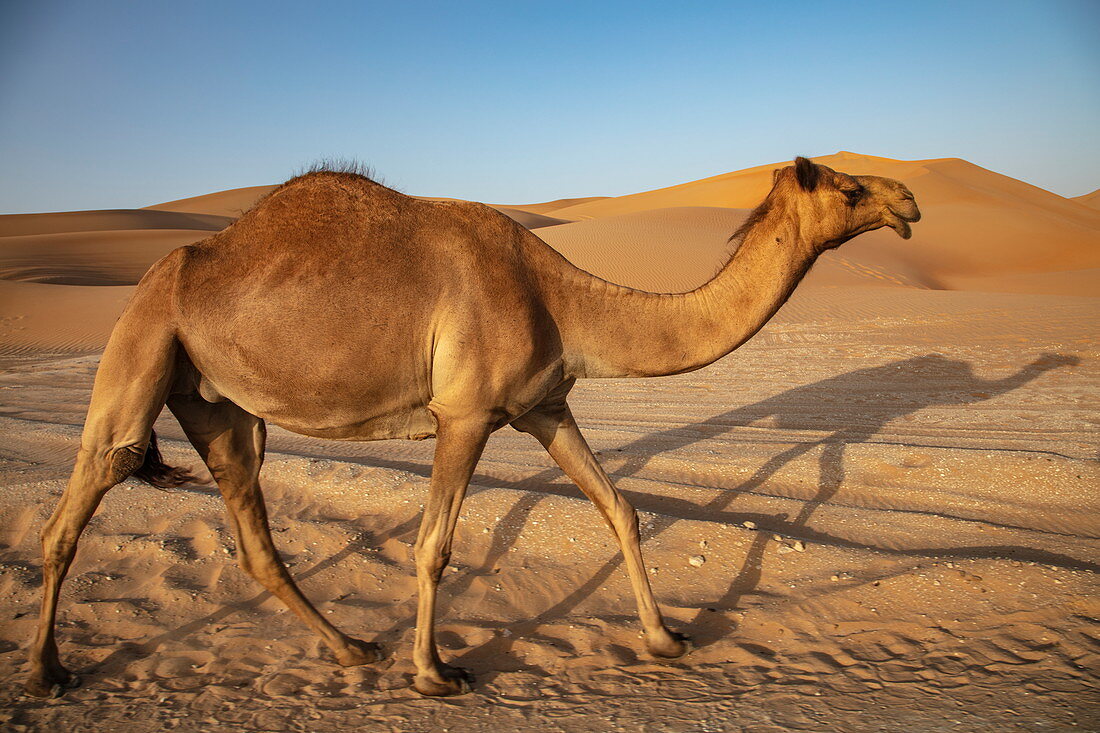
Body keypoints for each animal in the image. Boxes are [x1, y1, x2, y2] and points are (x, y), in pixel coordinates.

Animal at [25, 155, 919, 695]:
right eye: (847, 188)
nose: (908, 198)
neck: (560, 295)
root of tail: (168, 271)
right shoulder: (464, 414)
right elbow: (433, 544)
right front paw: (436, 673)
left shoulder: (544, 406)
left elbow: (620, 507)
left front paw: (666, 639)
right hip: (143, 346)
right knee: (89, 491)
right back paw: (45, 671)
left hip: (221, 405)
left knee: (253, 531)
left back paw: (354, 648)